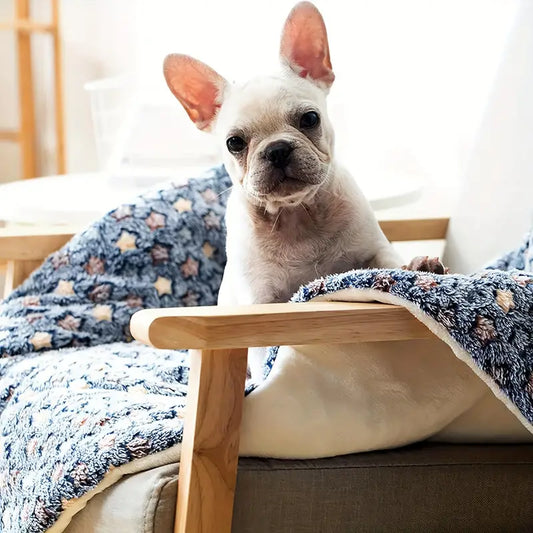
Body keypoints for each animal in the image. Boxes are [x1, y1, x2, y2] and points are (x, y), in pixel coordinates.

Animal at [162, 3, 404, 378]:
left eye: (310, 119)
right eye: (234, 143)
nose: (277, 149)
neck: (296, 214)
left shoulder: (376, 249)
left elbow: (391, 266)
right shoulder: (260, 302)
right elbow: (264, 354)